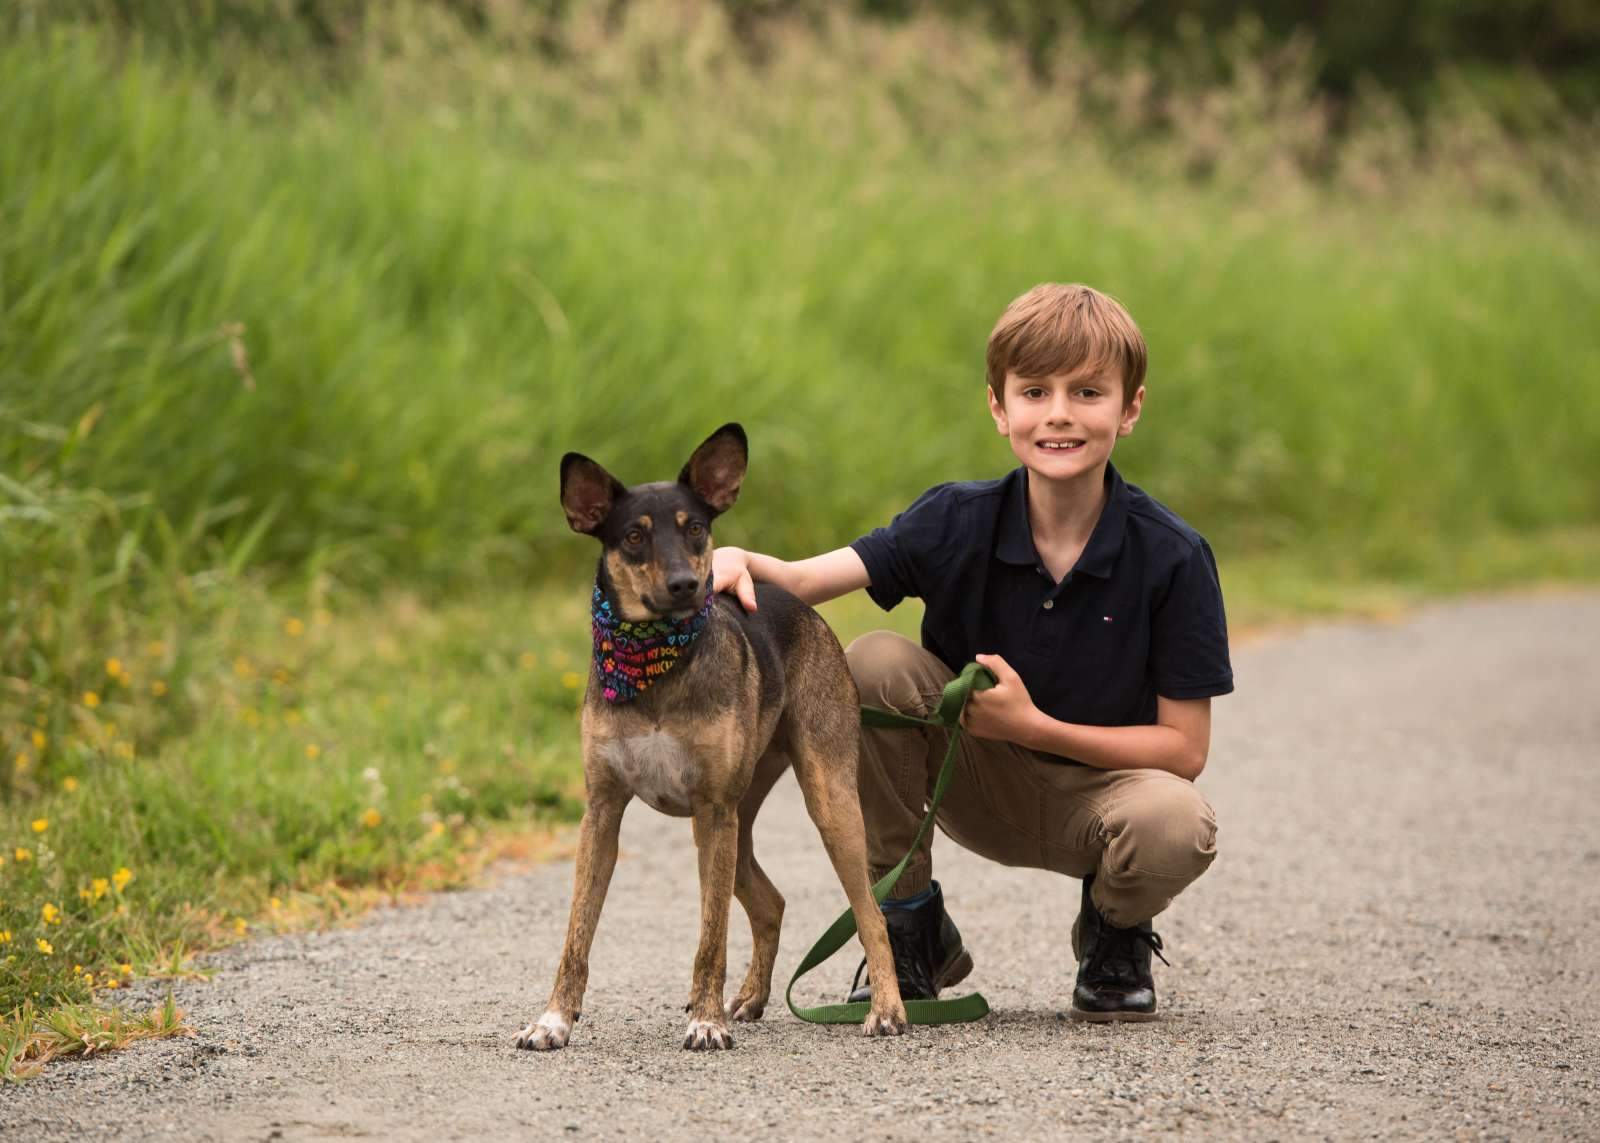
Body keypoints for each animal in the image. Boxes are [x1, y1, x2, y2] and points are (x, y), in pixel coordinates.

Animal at [518, 422, 908, 1043]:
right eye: (633, 535)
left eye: (696, 528)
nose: (686, 584)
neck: (654, 664)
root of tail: (801, 605)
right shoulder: (601, 812)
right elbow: (576, 935)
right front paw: (553, 1021)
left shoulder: (711, 811)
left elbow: (711, 938)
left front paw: (704, 1022)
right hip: (738, 822)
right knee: (771, 903)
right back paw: (748, 998)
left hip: (822, 802)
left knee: (870, 912)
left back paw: (887, 1008)